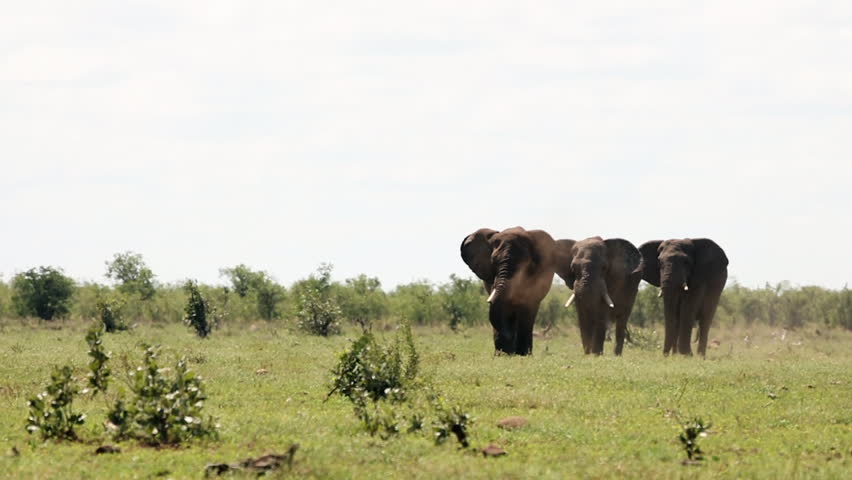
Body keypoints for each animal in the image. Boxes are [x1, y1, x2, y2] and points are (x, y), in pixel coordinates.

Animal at [460, 227, 557, 355]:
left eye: (524, 264)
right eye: (493, 261)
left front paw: (522, 354)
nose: (510, 350)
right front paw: (503, 353)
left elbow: (527, 306)